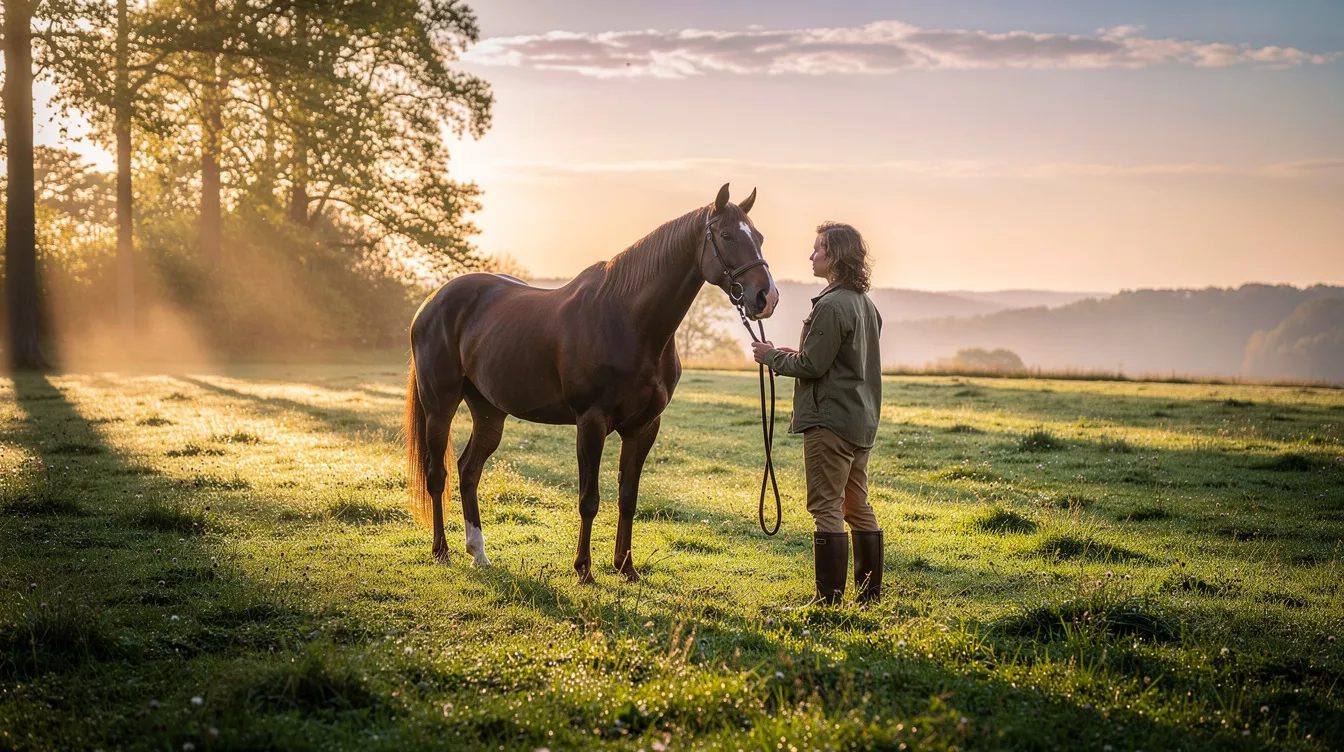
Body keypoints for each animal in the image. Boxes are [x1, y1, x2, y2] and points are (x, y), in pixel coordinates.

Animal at [405, 184, 778, 583]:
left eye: (759, 237)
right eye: (726, 236)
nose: (766, 297)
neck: (630, 320)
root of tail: (430, 303)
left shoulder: (644, 427)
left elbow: (628, 498)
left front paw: (626, 567)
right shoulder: (591, 422)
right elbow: (589, 499)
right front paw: (584, 569)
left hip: (489, 412)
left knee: (468, 471)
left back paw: (479, 553)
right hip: (439, 407)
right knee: (437, 475)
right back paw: (441, 551)